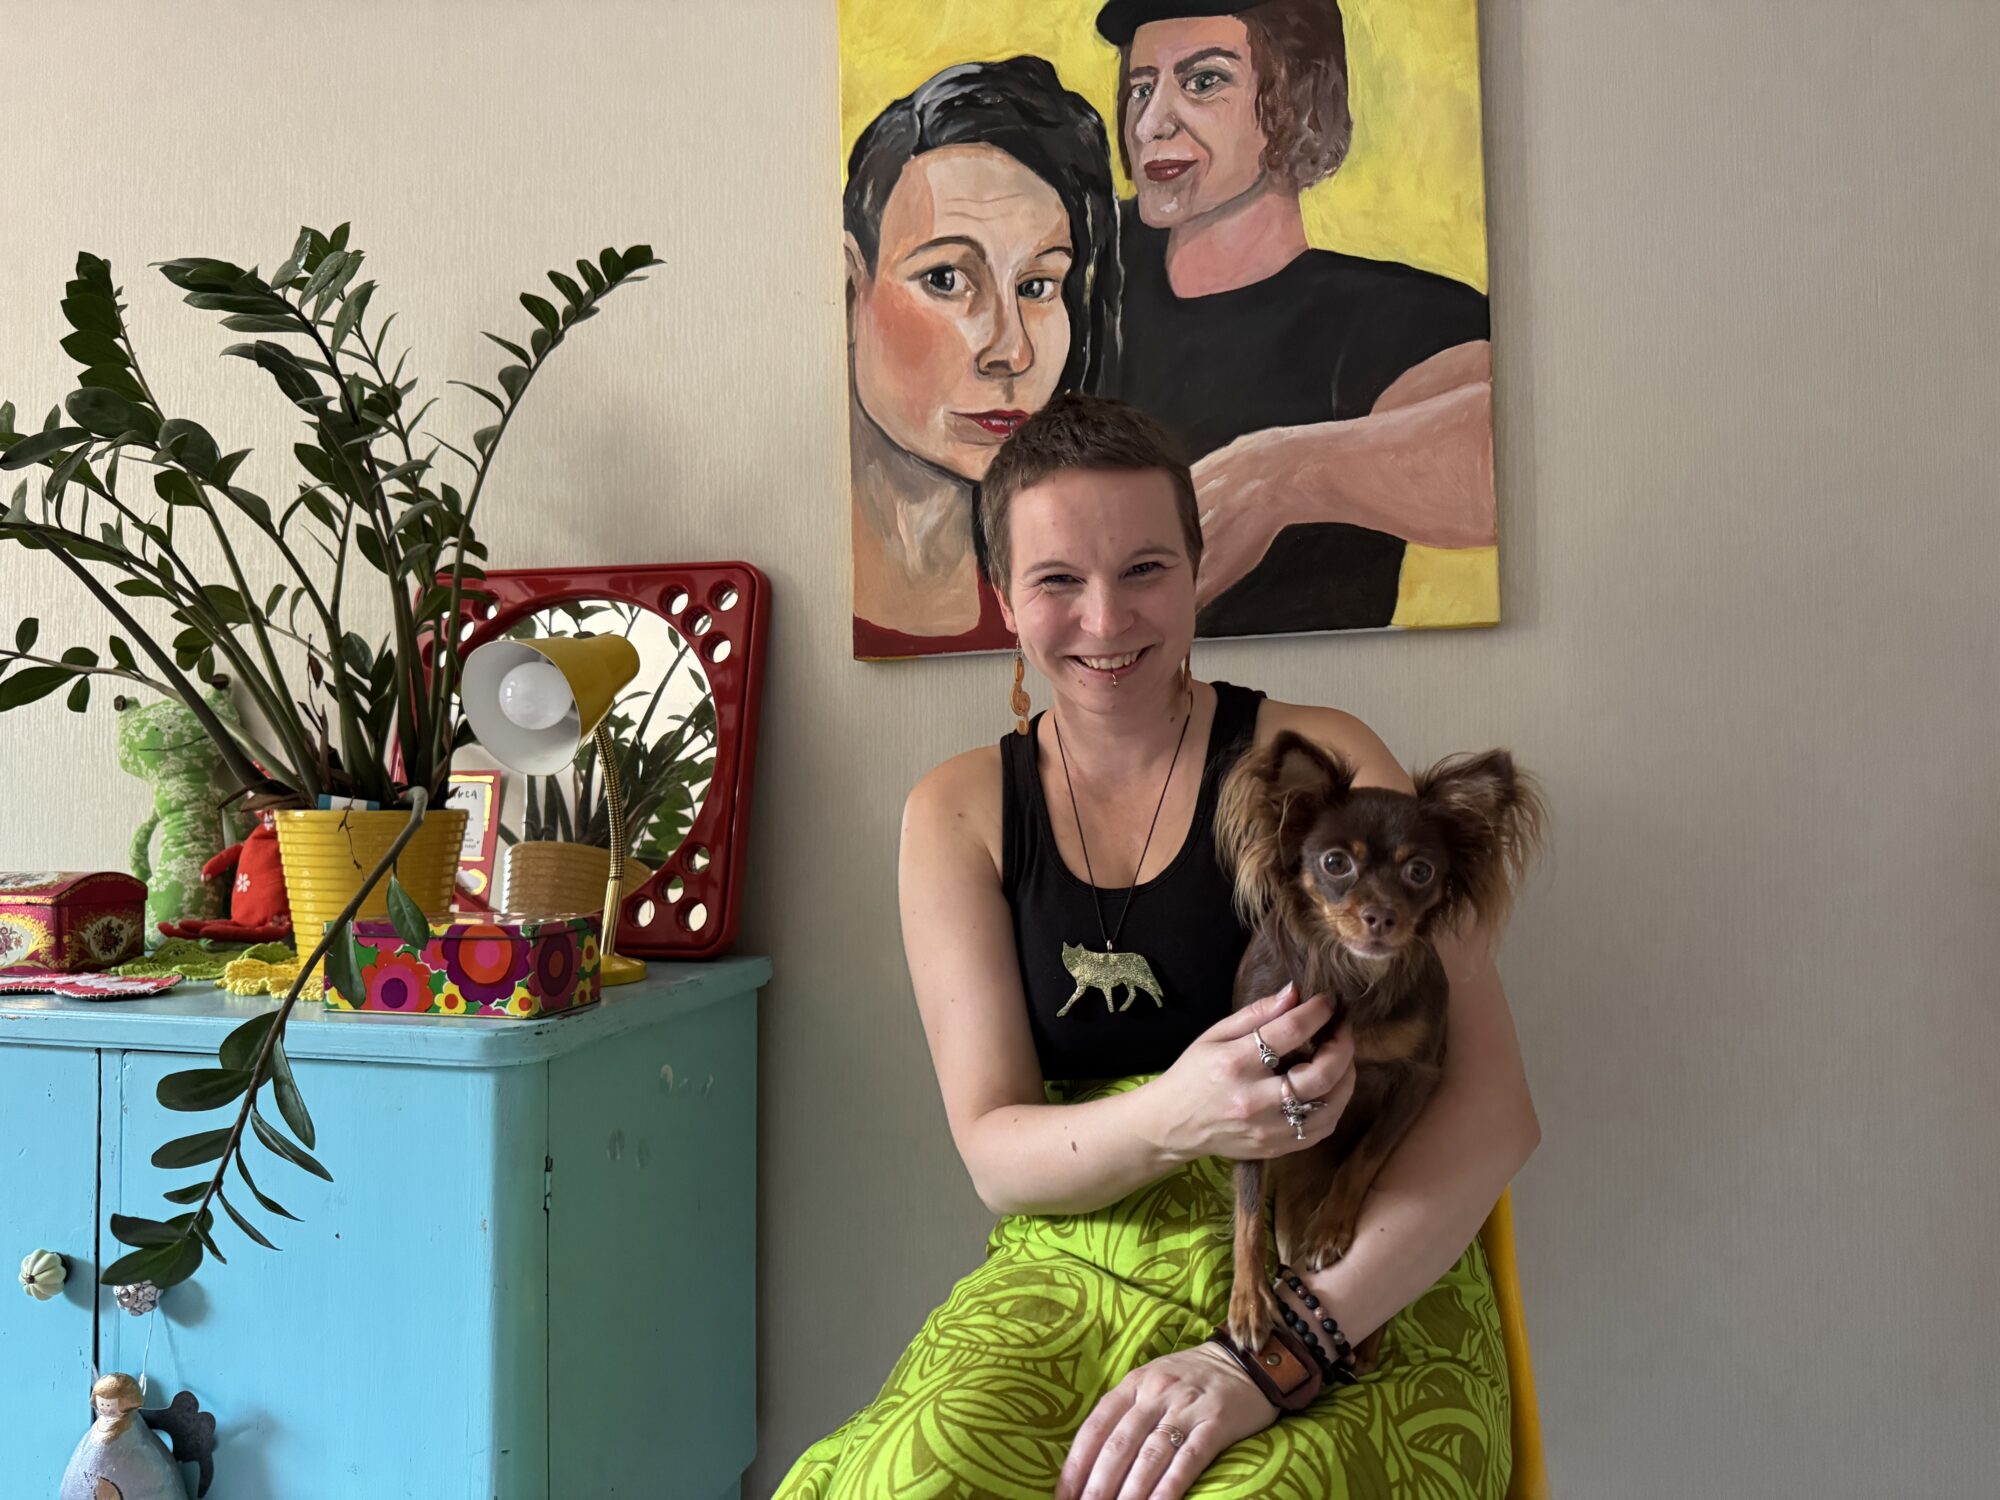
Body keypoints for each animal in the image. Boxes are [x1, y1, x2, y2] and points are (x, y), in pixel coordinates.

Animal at [1213, 729, 1545, 1367]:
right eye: (1335, 863)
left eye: (1420, 871)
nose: (1381, 916)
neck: (1351, 977)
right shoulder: (1255, 1092)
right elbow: (1246, 1207)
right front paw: (1247, 1301)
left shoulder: (1418, 1075)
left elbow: (1365, 1158)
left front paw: (1332, 1230)